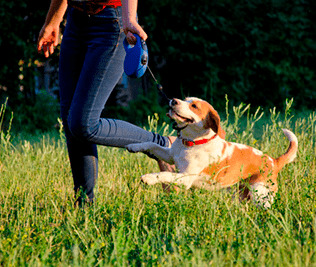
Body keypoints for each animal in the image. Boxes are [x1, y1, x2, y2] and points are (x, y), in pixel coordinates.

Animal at [124, 97, 298, 208]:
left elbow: (164, 174)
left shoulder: (186, 178)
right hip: (241, 195)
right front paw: (134, 145)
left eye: (194, 106)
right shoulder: (171, 156)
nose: (173, 100)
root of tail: (274, 161)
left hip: (261, 195)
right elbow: (152, 145)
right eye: (185, 99)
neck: (191, 143)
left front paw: (149, 178)